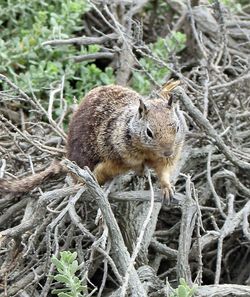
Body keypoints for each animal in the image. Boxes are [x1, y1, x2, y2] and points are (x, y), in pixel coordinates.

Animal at [0, 80, 186, 202]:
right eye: (149, 132)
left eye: (177, 128)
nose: (168, 151)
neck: (149, 151)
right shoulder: (122, 152)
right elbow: (133, 163)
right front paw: (141, 170)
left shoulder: (168, 156)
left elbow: (164, 171)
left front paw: (167, 187)